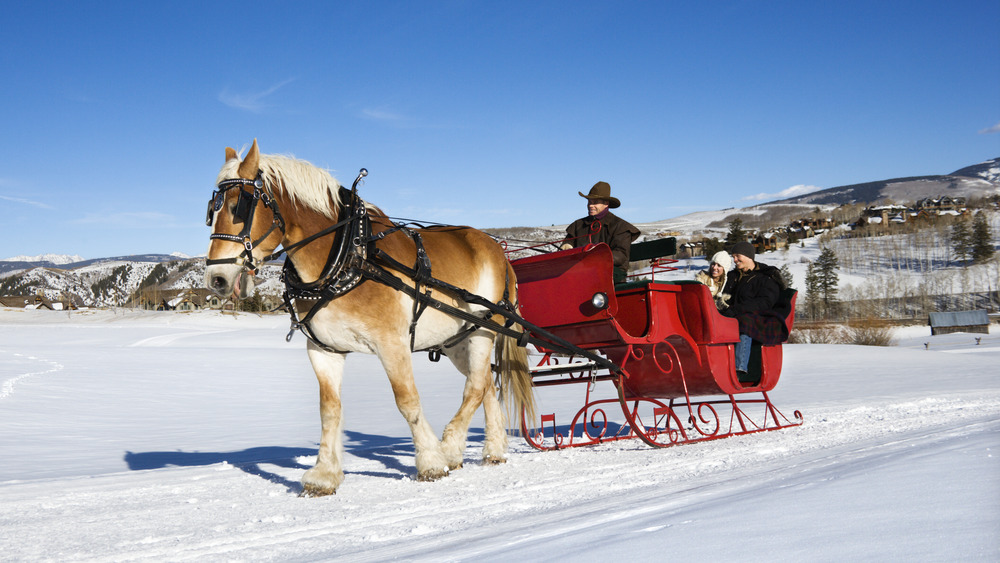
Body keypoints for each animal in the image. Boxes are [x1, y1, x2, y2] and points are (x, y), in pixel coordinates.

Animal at [205, 141, 540, 498]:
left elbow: (407, 401)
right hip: (456, 340)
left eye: (239, 206)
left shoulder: (392, 343)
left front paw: (431, 462)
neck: (347, 255)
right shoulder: (324, 349)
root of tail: (498, 250)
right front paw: (324, 475)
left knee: (475, 387)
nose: (216, 279)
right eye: (212, 210)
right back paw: (493, 450)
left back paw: (450, 448)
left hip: (481, 331)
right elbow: (329, 410)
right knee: (486, 384)